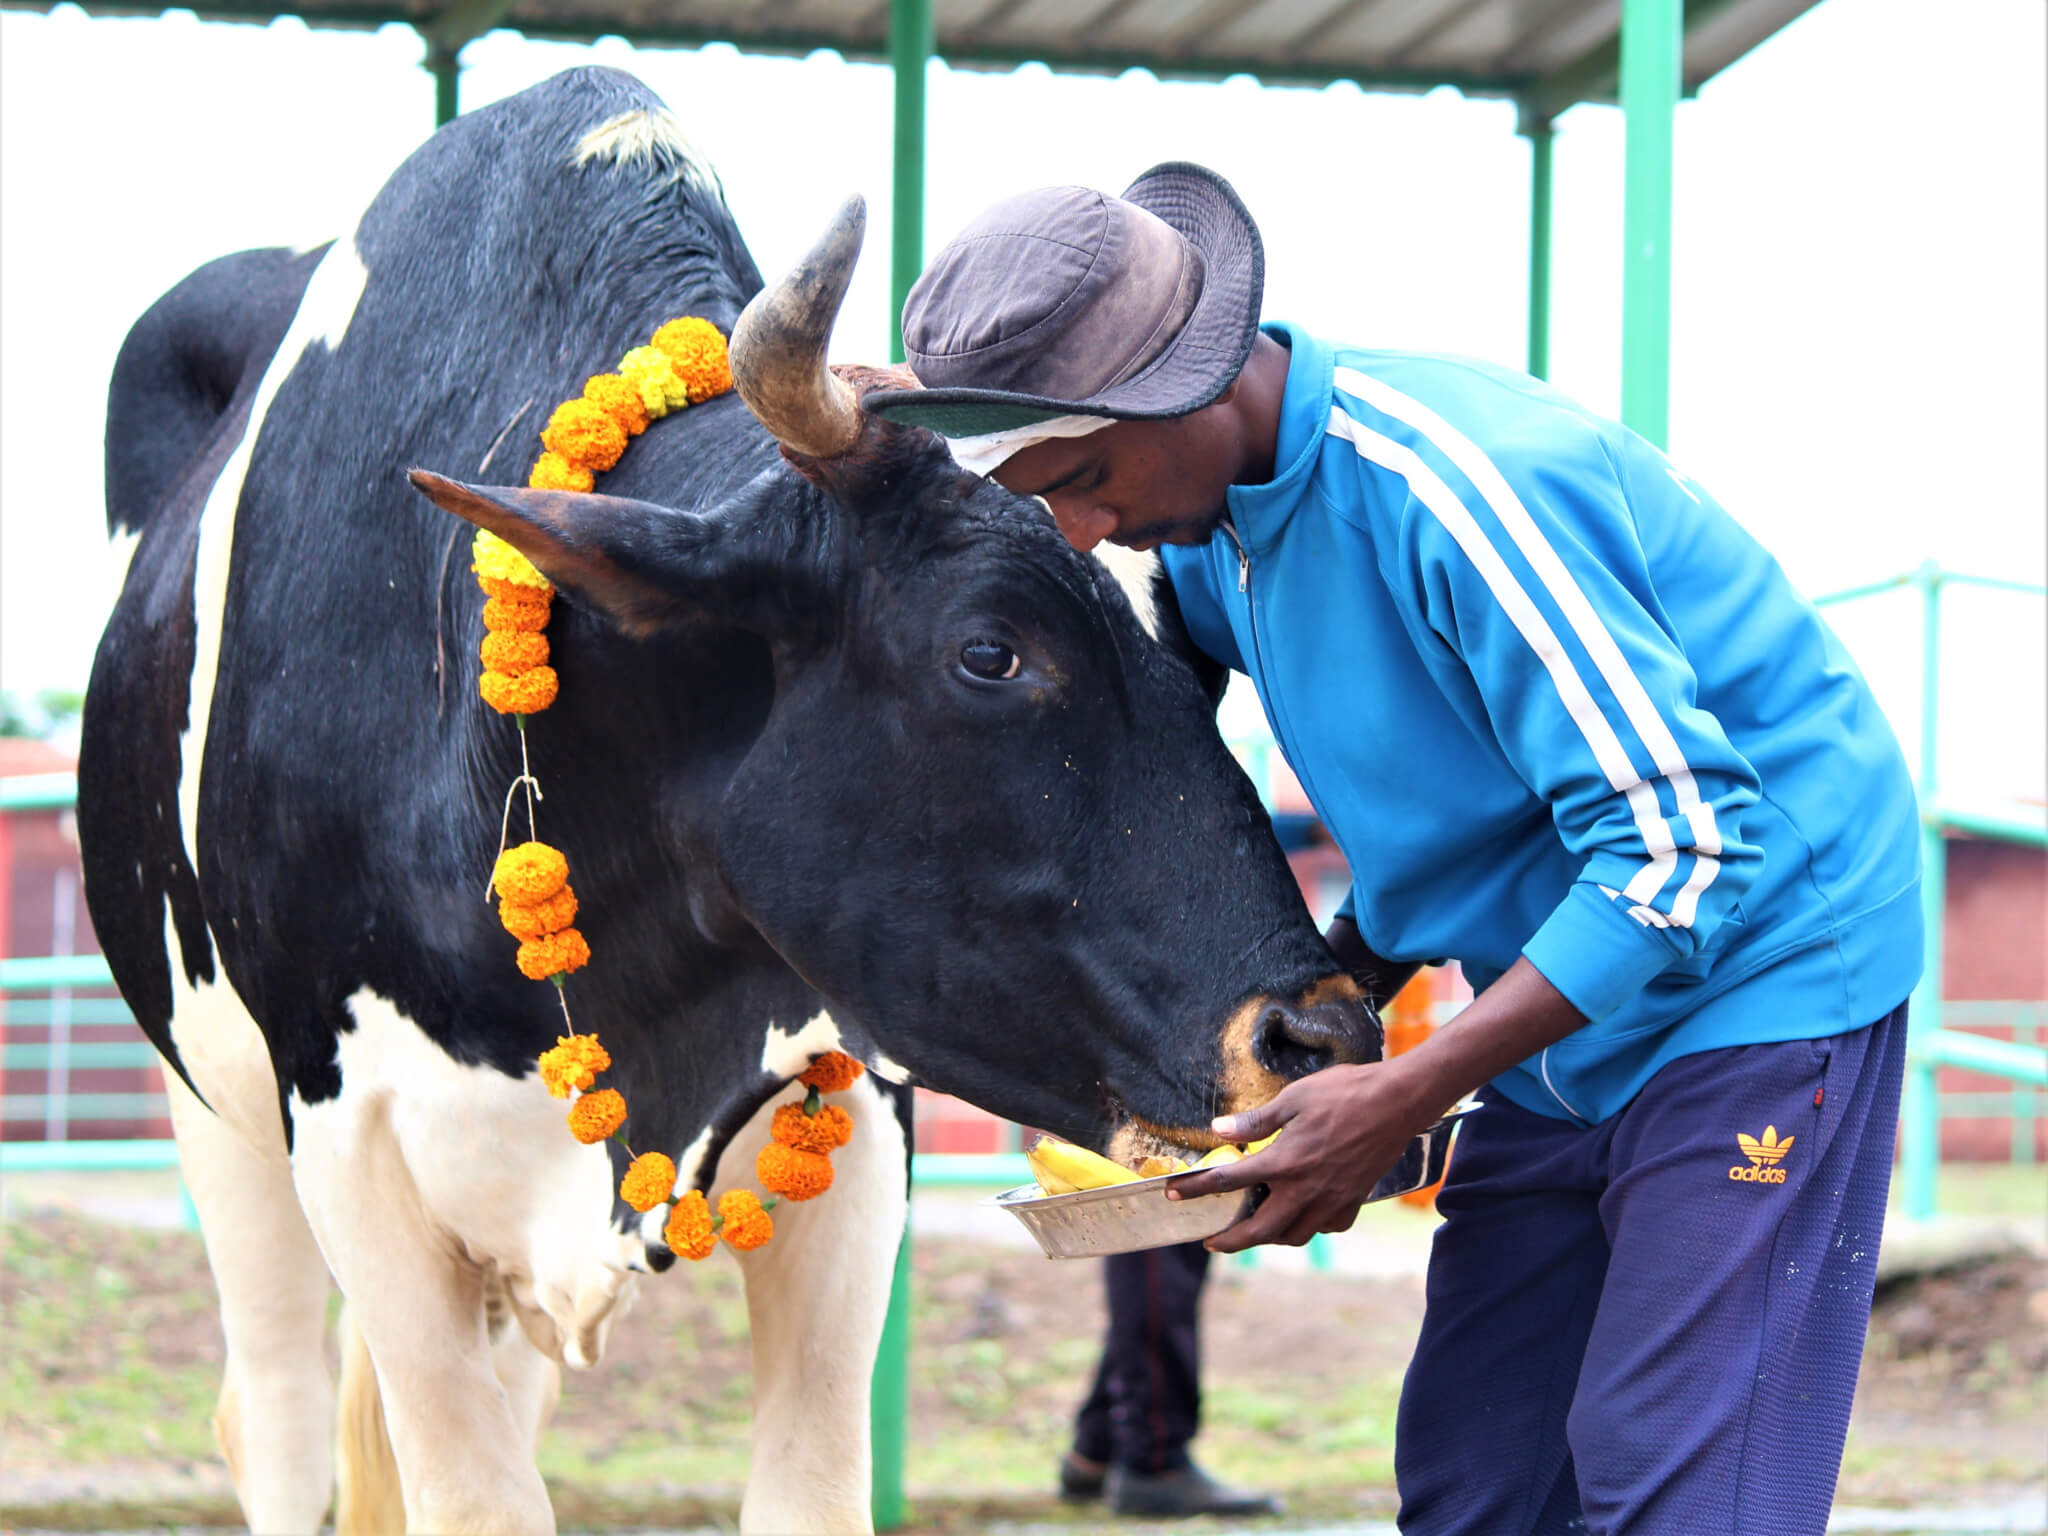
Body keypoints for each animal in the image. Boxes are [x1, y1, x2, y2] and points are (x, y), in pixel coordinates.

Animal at [88, 69, 1384, 1536]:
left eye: (1207, 651)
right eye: (990, 650)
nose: (1320, 1038)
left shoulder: (855, 1128)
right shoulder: (349, 1141)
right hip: (215, 1113)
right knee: (279, 1419)